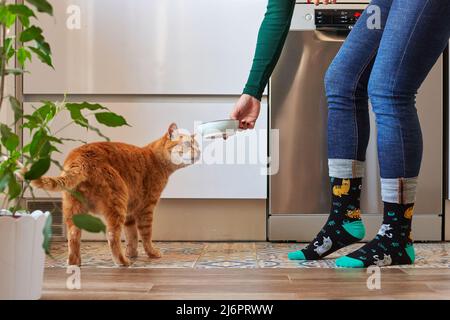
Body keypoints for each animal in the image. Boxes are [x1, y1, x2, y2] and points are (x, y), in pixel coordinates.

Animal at [30, 124, 200, 266]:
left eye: (197, 146)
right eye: (187, 145)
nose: (198, 153)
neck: (156, 159)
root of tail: (79, 158)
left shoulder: (131, 212)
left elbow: (131, 236)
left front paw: (132, 253)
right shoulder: (146, 208)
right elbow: (145, 235)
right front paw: (150, 253)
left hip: (74, 210)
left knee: (73, 237)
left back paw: (74, 263)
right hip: (117, 203)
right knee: (112, 235)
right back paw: (122, 262)